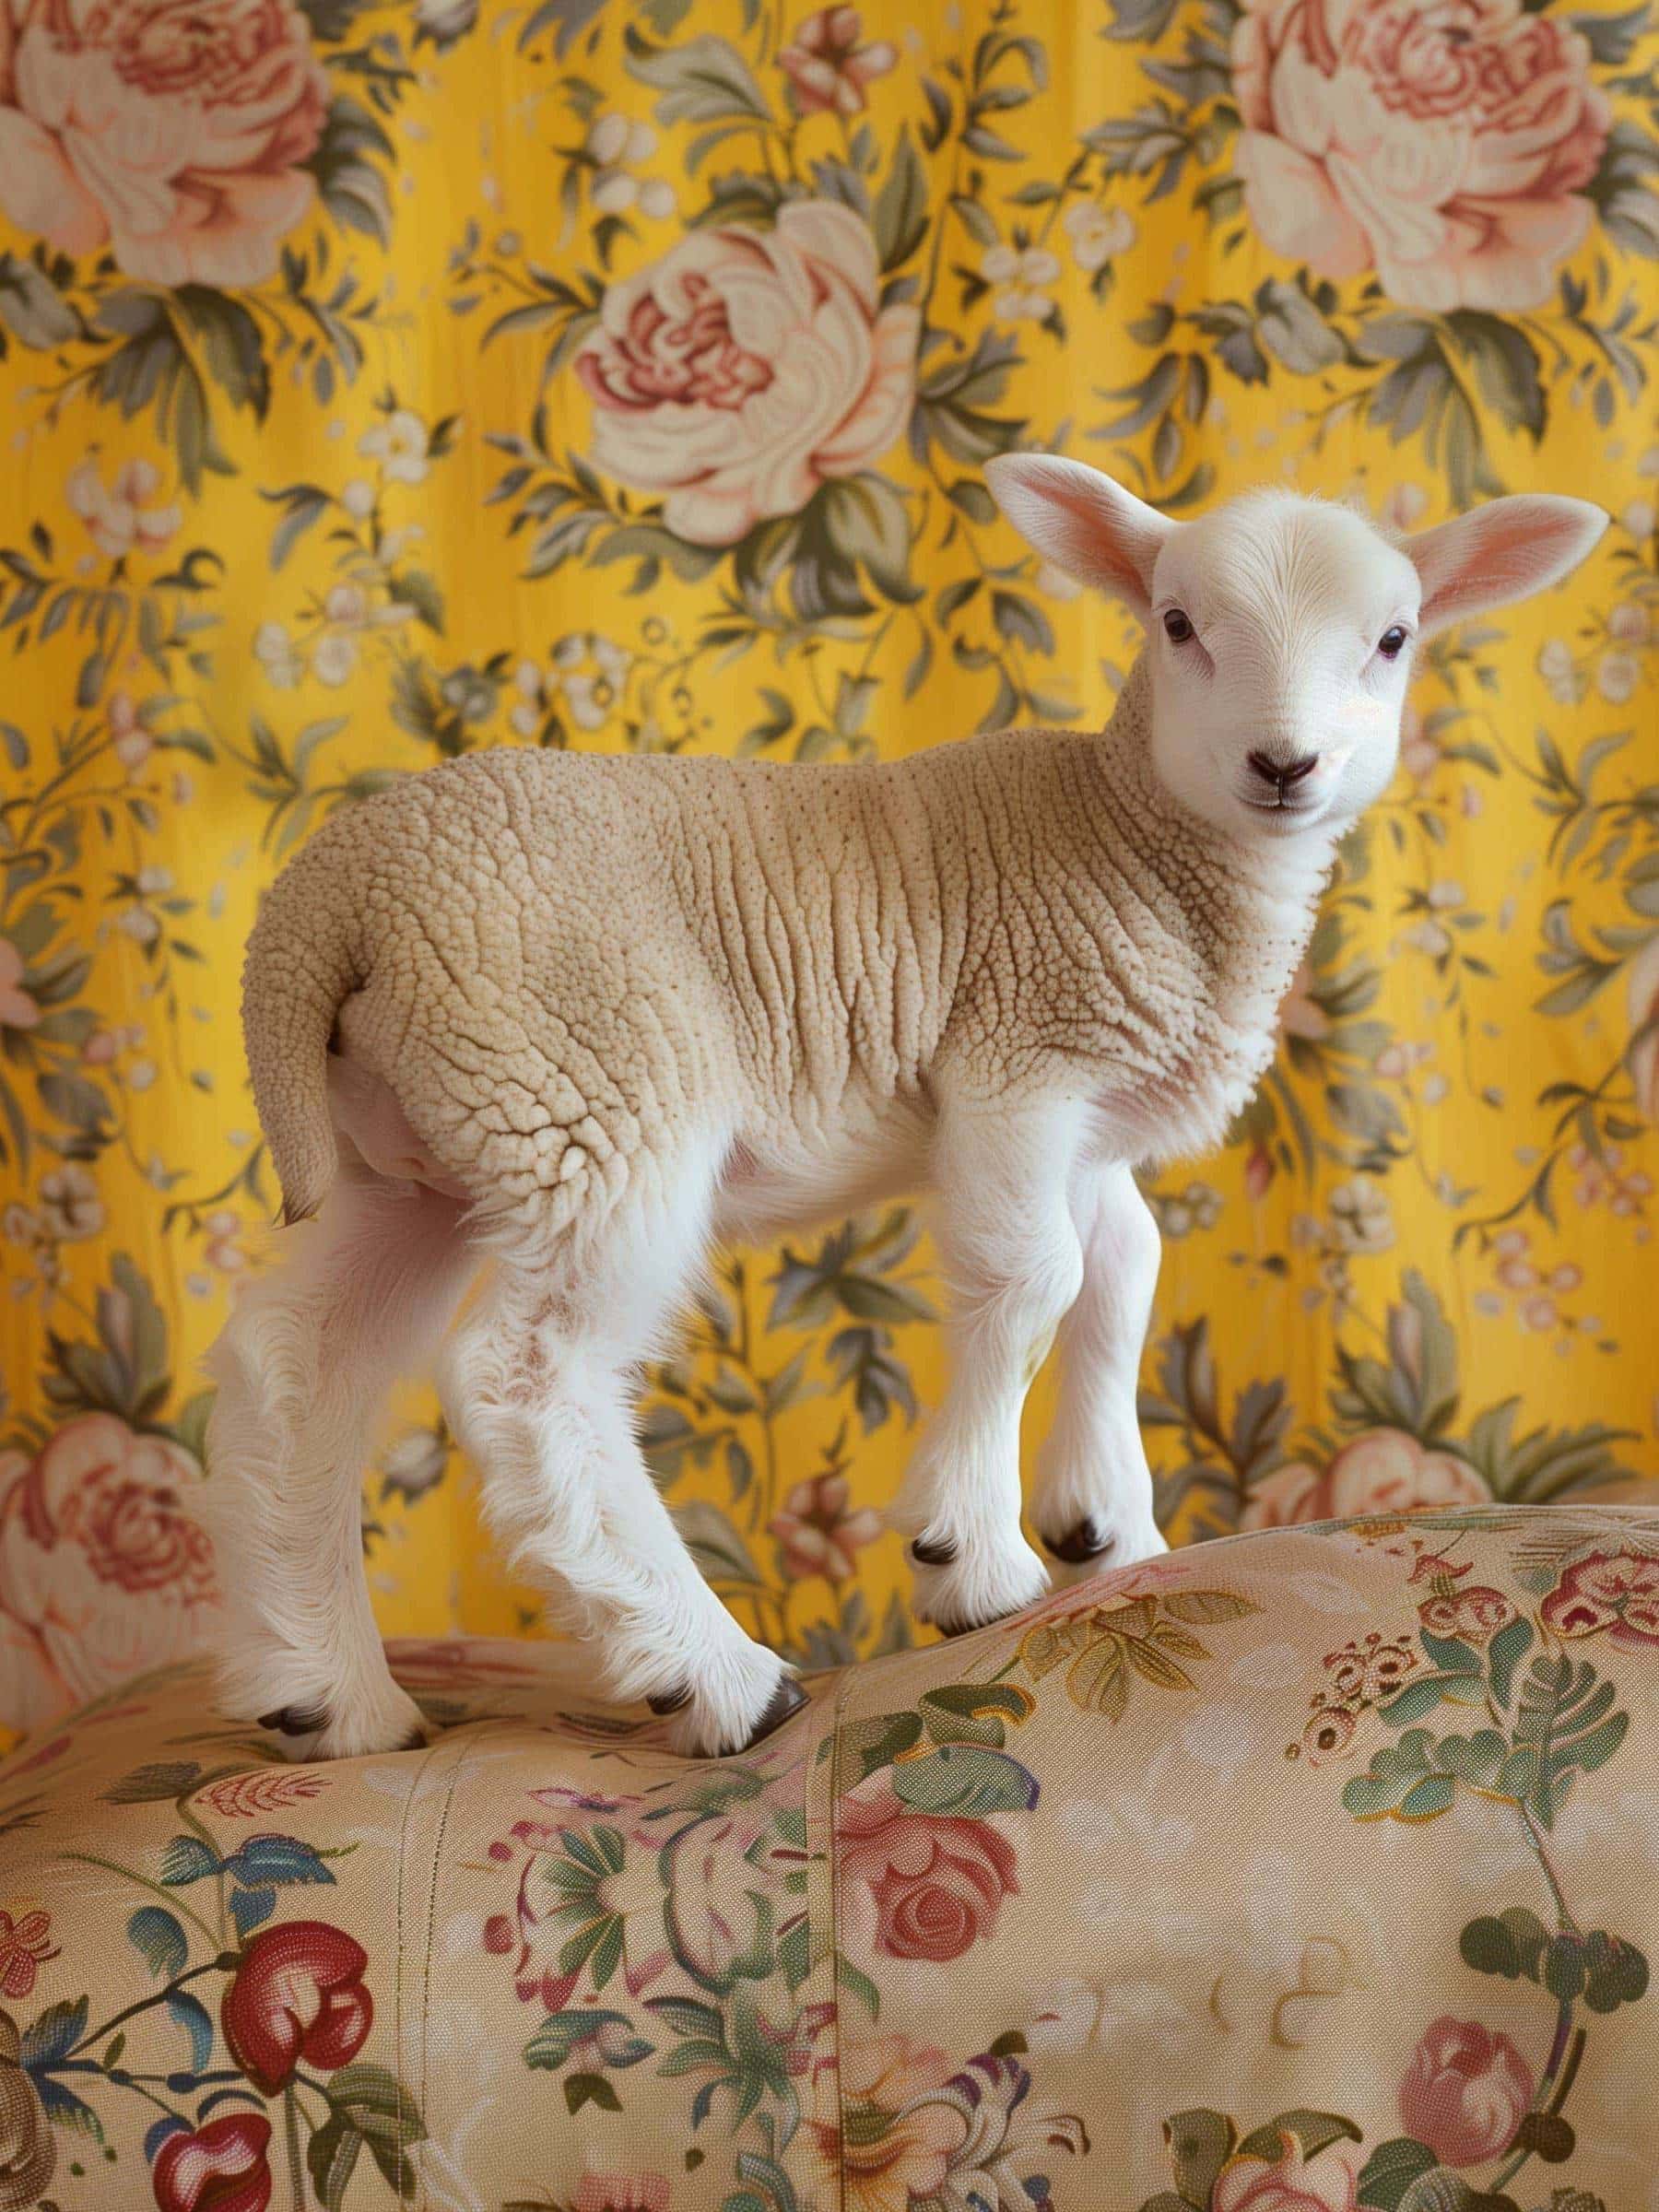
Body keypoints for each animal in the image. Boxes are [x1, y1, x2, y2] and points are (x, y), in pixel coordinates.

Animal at [201, 460, 1606, 1761]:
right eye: (1177, 623)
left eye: (1394, 638)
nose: (1283, 764)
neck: (1133, 834)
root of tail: (321, 907)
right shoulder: (1019, 1058)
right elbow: (1033, 1282)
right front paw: (972, 1556)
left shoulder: (1084, 1107)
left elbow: (1123, 1275)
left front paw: (1111, 1529)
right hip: (591, 1093)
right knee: (527, 1381)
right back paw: (717, 1676)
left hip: (431, 1148)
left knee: (295, 1368)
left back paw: (331, 1695)